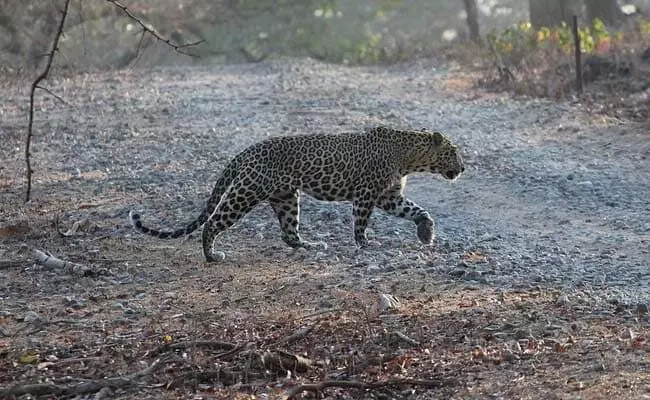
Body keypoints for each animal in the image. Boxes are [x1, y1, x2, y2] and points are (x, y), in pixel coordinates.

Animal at [129, 126, 465, 262]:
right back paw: (212, 256)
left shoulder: (388, 196)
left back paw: (311, 245)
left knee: (288, 233)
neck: (409, 156)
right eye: (453, 152)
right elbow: (360, 222)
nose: (463, 168)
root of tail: (246, 151)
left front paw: (426, 233)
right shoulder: (367, 194)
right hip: (245, 192)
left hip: (286, 198)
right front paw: (365, 244)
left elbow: (417, 210)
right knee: (213, 222)